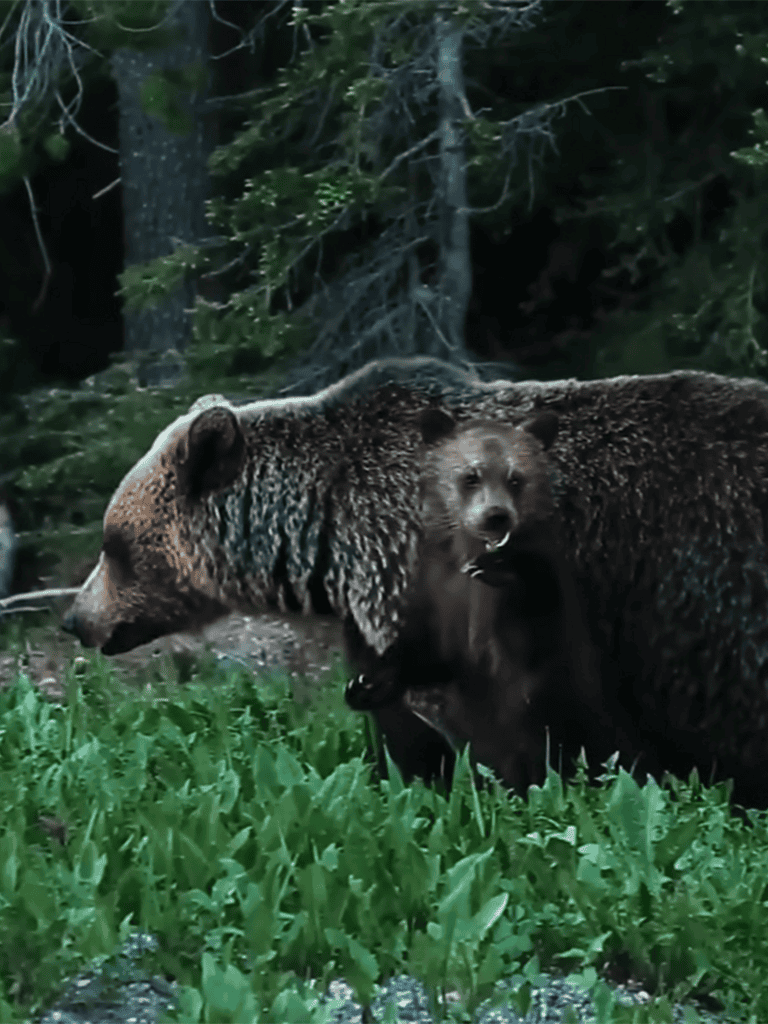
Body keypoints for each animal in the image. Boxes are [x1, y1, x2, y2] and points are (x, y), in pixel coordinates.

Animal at [344, 408, 619, 792]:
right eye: (470, 476)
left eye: (516, 478)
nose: (496, 515)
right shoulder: (435, 591)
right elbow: (426, 653)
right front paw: (370, 684)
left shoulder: (539, 614)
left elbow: (531, 638)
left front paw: (499, 568)